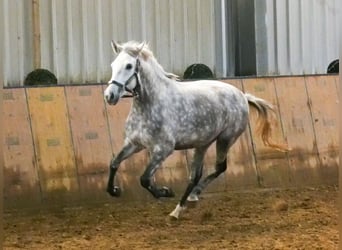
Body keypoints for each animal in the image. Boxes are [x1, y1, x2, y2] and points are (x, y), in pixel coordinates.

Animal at [103, 40, 288, 219]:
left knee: (219, 168)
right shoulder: (134, 143)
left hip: (226, 138)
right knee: (195, 175)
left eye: (129, 66)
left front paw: (165, 191)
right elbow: (114, 163)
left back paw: (187, 201)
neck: (150, 104)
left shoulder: (163, 149)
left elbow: (145, 179)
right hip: (202, 144)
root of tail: (242, 95)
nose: (109, 96)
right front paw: (114, 191)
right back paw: (184, 204)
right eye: (113, 65)